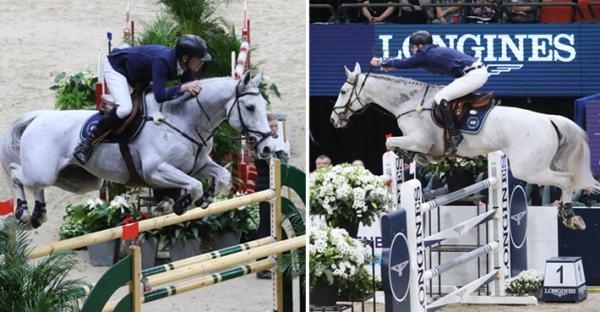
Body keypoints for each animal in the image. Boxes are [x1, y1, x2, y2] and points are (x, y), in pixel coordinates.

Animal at [1, 73, 274, 229]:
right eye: (250, 107)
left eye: (263, 105)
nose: (268, 147)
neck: (184, 119)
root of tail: (38, 117)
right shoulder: (155, 171)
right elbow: (194, 186)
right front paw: (177, 204)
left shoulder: (197, 165)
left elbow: (222, 177)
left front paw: (206, 199)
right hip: (43, 170)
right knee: (17, 174)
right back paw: (23, 211)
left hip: (75, 180)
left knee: (36, 186)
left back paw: (38, 214)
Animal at [330, 62, 596, 229]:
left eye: (342, 91)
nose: (334, 120)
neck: (410, 103)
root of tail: (548, 119)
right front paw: (422, 159)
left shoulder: (418, 139)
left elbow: (390, 141)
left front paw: (407, 156)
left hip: (529, 169)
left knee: (567, 181)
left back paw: (569, 216)